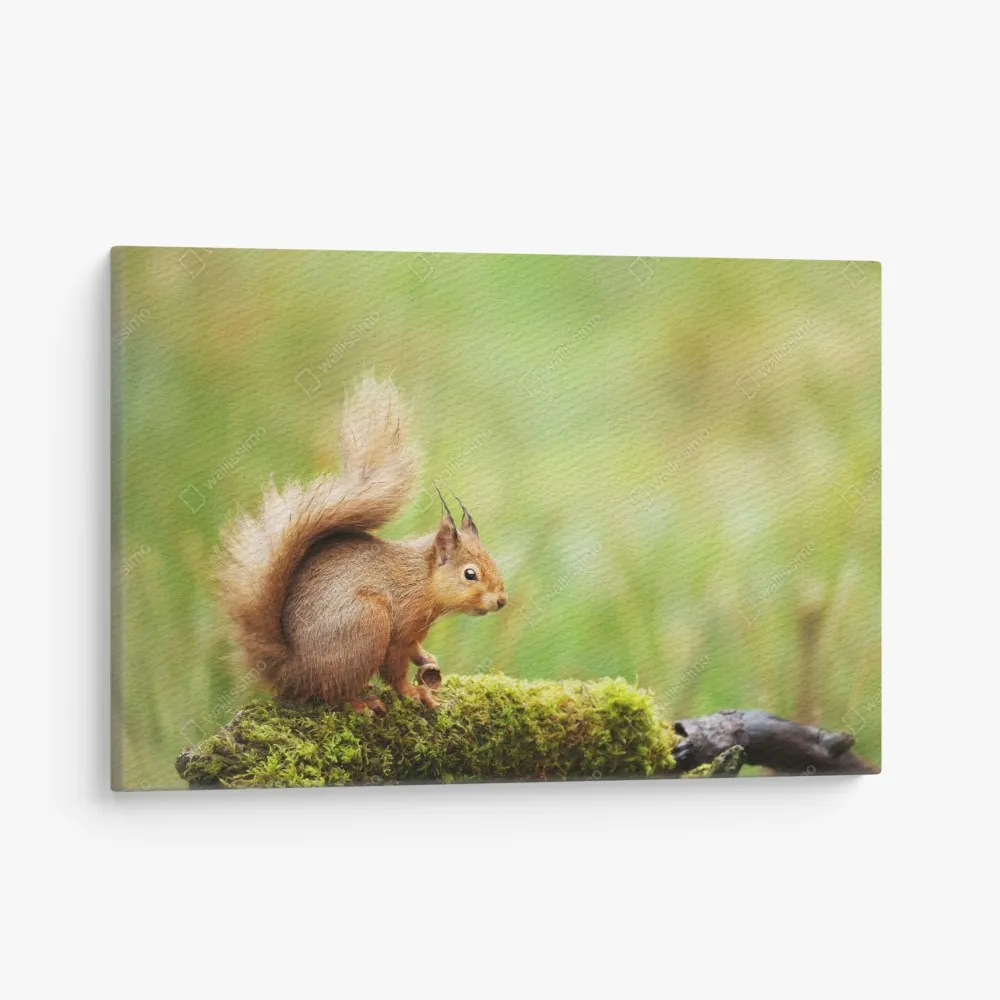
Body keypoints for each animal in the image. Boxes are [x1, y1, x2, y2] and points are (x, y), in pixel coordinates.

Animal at [217, 376, 507, 713]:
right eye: (470, 574)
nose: (502, 601)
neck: (423, 580)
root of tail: (291, 672)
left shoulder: (413, 633)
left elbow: (415, 650)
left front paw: (428, 660)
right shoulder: (400, 628)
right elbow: (395, 668)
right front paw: (414, 693)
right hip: (367, 624)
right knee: (333, 693)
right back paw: (361, 703)